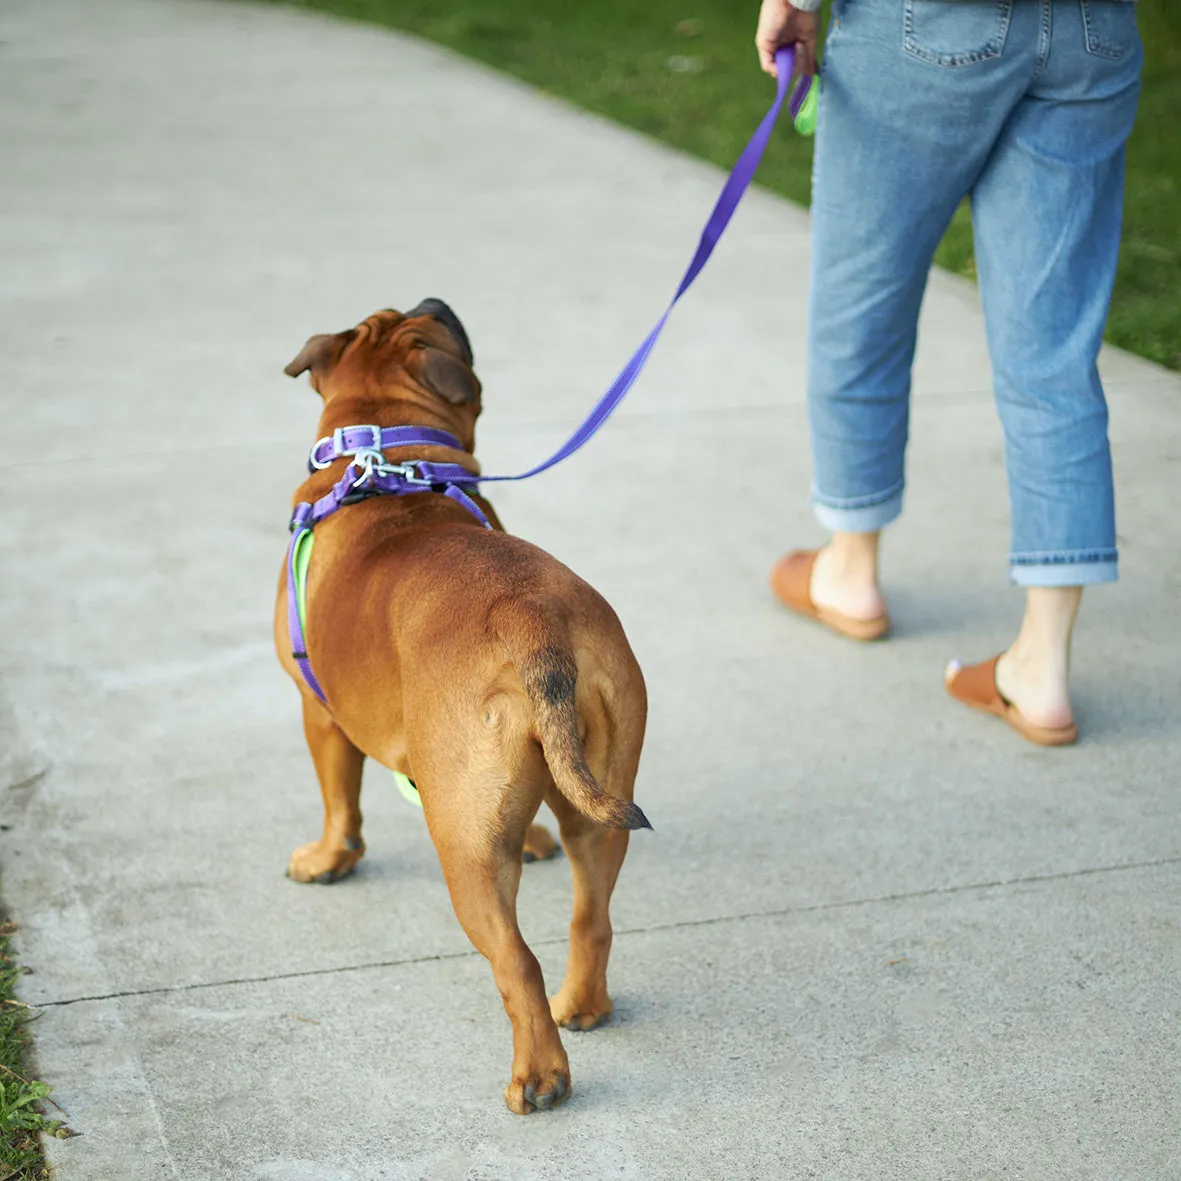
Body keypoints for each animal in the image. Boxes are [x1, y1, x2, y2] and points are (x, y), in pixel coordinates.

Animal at [272, 299, 651, 1110]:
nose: (434, 300)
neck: (389, 458)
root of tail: (536, 626)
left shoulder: (321, 715)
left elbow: (339, 802)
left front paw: (328, 859)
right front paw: (534, 839)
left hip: (464, 851)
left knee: (515, 960)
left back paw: (538, 1077)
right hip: (592, 805)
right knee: (591, 915)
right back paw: (583, 1006)